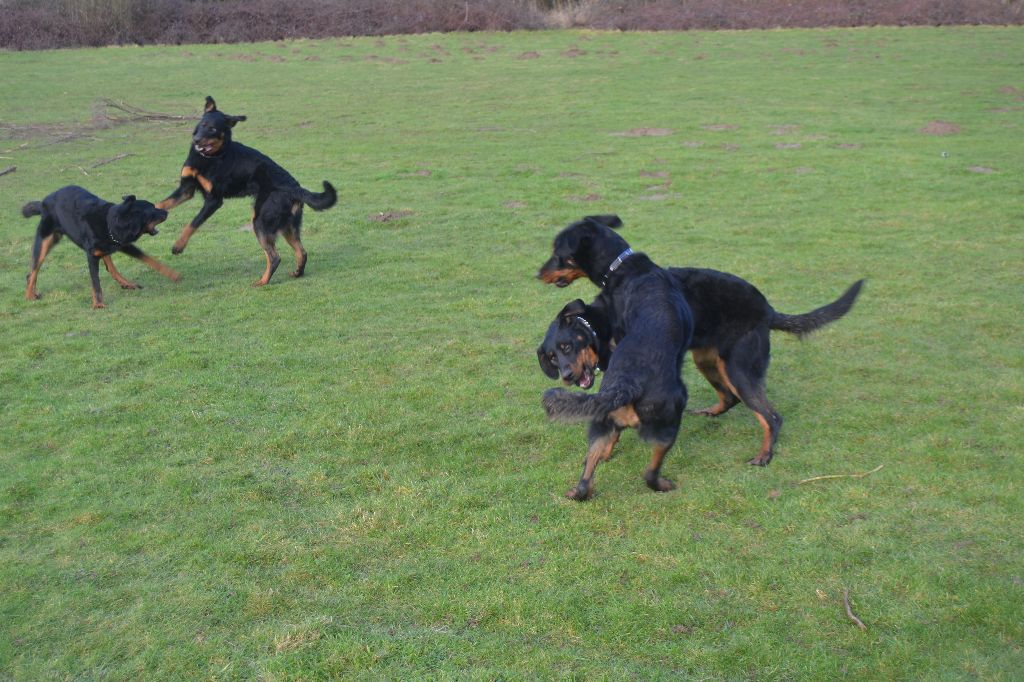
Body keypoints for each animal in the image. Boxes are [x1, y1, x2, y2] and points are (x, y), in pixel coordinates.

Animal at [20, 183, 177, 305]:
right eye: (153, 209)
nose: (166, 211)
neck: (110, 222)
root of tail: (43, 202)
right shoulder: (92, 256)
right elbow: (96, 282)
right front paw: (98, 304)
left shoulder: (123, 244)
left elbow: (149, 259)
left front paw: (172, 274)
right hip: (44, 241)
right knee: (32, 272)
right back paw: (29, 295)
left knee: (111, 267)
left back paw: (126, 283)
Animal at [157, 95, 337, 284]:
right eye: (202, 124)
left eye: (213, 129)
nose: (196, 139)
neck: (210, 156)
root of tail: (295, 187)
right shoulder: (186, 189)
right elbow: (161, 204)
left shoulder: (213, 201)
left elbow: (193, 223)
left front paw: (178, 245)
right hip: (287, 226)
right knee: (302, 252)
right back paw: (296, 273)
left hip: (260, 220)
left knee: (274, 257)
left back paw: (262, 282)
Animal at [536, 215, 864, 464]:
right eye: (553, 356)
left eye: (558, 253)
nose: (537, 274)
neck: (621, 268)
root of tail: (767, 310)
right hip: (707, 359)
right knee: (730, 398)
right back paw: (712, 412)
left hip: (739, 369)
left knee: (771, 416)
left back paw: (764, 455)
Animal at [536, 216, 696, 499]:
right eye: (553, 357)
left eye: (558, 254)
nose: (538, 273)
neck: (620, 266)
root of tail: (626, 384)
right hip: (669, 416)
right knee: (649, 473)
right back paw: (663, 484)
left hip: (600, 423)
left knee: (587, 473)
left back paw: (582, 489)